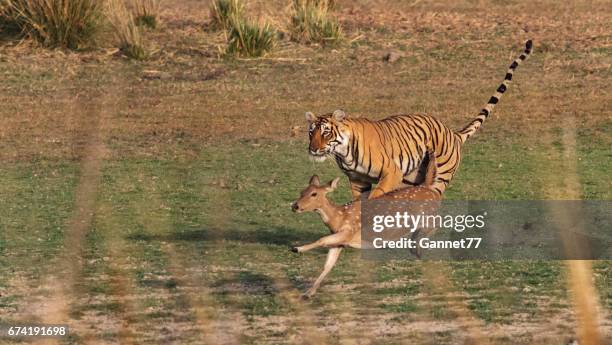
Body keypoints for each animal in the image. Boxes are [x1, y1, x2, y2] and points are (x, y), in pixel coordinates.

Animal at [290, 152, 442, 296]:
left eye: (314, 194)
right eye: (302, 192)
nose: (295, 206)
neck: (339, 218)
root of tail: (429, 189)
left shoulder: (348, 232)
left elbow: (322, 240)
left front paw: (297, 248)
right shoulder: (340, 243)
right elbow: (328, 265)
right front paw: (308, 293)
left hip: (428, 217)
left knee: (434, 227)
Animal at [306, 39, 532, 199]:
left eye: (326, 132)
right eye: (311, 132)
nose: (313, 149)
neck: (343, 152)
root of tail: (454, 134)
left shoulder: (391, 172)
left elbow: (375, 198)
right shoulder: (358, 181)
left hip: (439, 177)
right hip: (412, 179)